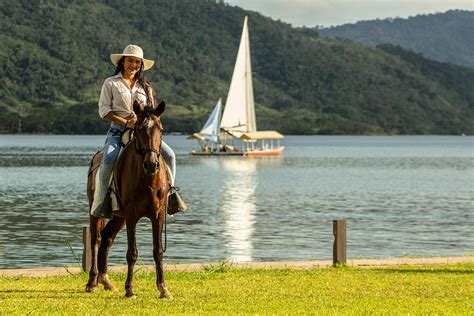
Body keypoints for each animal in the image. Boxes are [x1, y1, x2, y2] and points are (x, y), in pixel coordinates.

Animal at [84, 100, 171, 298]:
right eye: (138, 129)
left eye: (161, 129)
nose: (151, 164)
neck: (147, 180)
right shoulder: (132, 216)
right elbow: (132, 253)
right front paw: (130, 289)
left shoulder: (158, 215)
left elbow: (158, 252)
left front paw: (163, 288)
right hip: (96, 211)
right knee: (96, 239)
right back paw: (92, 282)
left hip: (118, 217)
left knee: (107, 238)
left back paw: (106, 281)